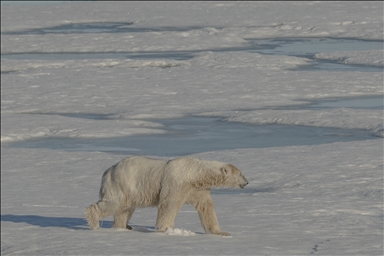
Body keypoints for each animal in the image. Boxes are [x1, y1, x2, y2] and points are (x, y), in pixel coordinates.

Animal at [86, 155, 249, 235]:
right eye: (240, 173)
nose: (247, 182)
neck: (195, 173)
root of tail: (109, 170)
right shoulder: (176, 182)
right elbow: (169, 204)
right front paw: (165, 229)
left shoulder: (198, 189)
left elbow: (206, 207)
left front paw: (221, 232)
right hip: (123, 183)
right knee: (115, 203)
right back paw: (94, 222)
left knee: (125, 208)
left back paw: (124, 227)